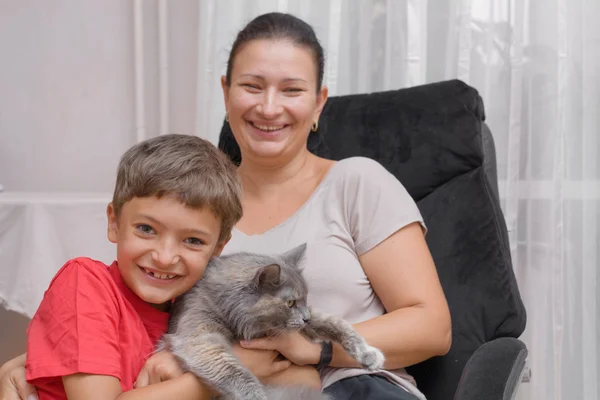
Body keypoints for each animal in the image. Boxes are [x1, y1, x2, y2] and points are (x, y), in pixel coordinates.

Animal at [158, 244, 384, 400]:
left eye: (305, 299)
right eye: (291, 302)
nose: (305, 318)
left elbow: (339, 326)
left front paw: (369, 355)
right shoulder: (201, 337)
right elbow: (236, 374)